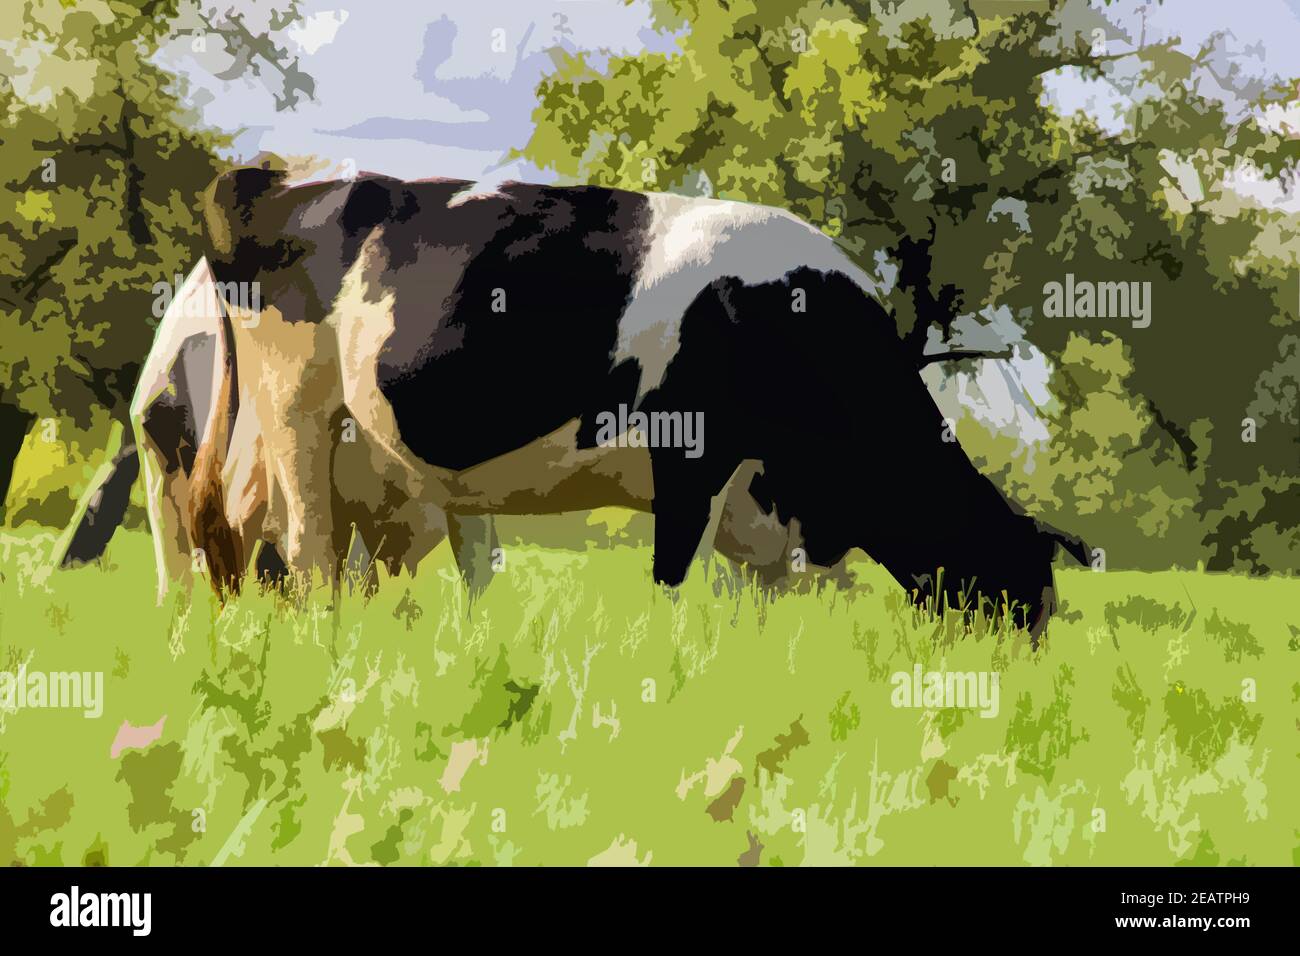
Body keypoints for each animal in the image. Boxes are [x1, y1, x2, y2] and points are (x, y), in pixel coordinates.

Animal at [189, 167, 1085, 635]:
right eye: (1018, 597)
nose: (1014, 682)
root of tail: (271, 181)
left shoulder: (764, 507)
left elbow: (768, 600)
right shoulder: (692, 454)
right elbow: (673, 579)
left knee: (256, 530)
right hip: (299, 410)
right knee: (307, 549)